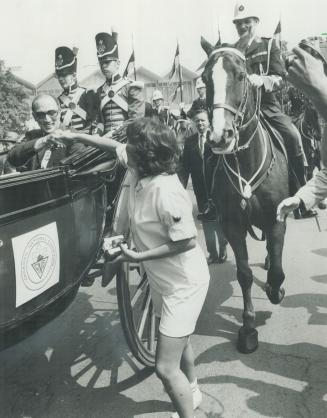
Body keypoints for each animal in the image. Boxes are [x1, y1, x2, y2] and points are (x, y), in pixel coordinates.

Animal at [201, 40, 290, 352]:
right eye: (205, 79)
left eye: (241, 76)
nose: (219, 137)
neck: (247, 161)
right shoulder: (232, 225)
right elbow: (244, 275)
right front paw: (248, 328)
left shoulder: (277, 219)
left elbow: (277, 270)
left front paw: (276, 290)